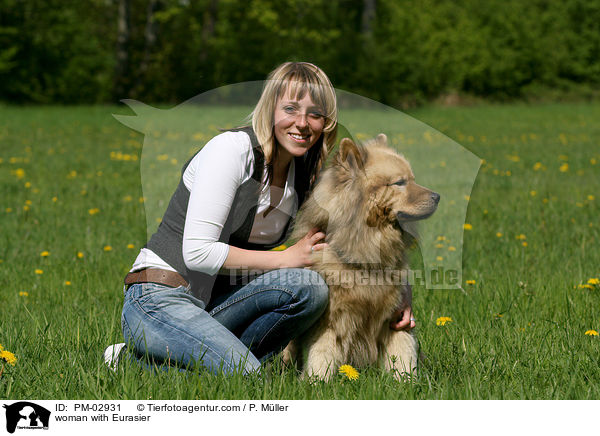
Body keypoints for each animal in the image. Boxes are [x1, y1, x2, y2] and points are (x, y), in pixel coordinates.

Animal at [284, 134, 438, 382]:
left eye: (412, 179)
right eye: (400, 183)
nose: (438, 197)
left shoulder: (395, 319)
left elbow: (403, 355)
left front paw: (407, 383)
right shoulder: (330, 323)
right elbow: (321, 356)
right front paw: (316, 383)